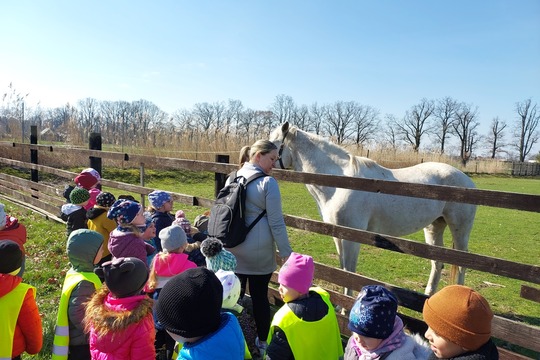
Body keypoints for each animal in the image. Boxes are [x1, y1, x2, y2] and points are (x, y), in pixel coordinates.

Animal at [270, 122, 476, 294]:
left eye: (272, 144)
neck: (339, 183)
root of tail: (468, 182)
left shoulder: (352, 236)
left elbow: (349, 271)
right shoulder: (338, 235)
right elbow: (342, 269)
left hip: (460, 229)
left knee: (462, 264)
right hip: (434, 227)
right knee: (438, 262)